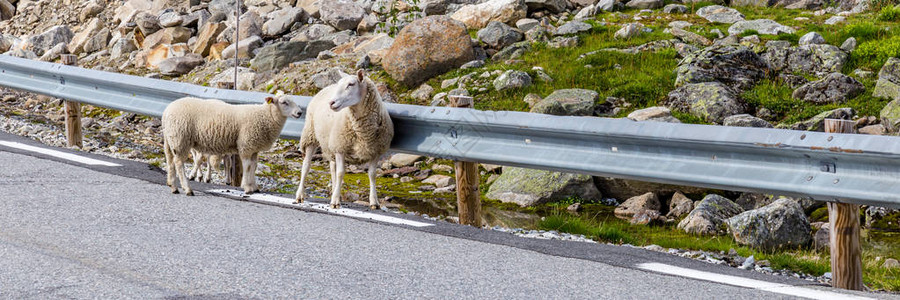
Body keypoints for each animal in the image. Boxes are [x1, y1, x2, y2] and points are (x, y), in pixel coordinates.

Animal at [163, 95, 302, 196]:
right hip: (180, 138)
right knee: (179, 163)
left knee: (170, 161)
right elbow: (247, 167)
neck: (265, 116)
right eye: (284, 102)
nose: (300, 113)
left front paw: (254, 187)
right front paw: (247, 188)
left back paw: (173, 187)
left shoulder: (254, 149)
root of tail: (167, 111)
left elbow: (254, 166)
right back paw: (187, 189)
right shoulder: (246, 145)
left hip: (171, 140)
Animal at [296, 69, 394, 209]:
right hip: (310, 135)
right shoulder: (340, 147)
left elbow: (372, 174)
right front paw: (335, 202)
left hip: (330, 143)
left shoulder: (375, 151)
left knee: (332, 167)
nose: (331, 103)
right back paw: (300, 195)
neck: (363, 132)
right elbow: (341, 173)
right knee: (306, 166)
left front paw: (374, 201)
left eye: (351, 84)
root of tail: (326, 88)